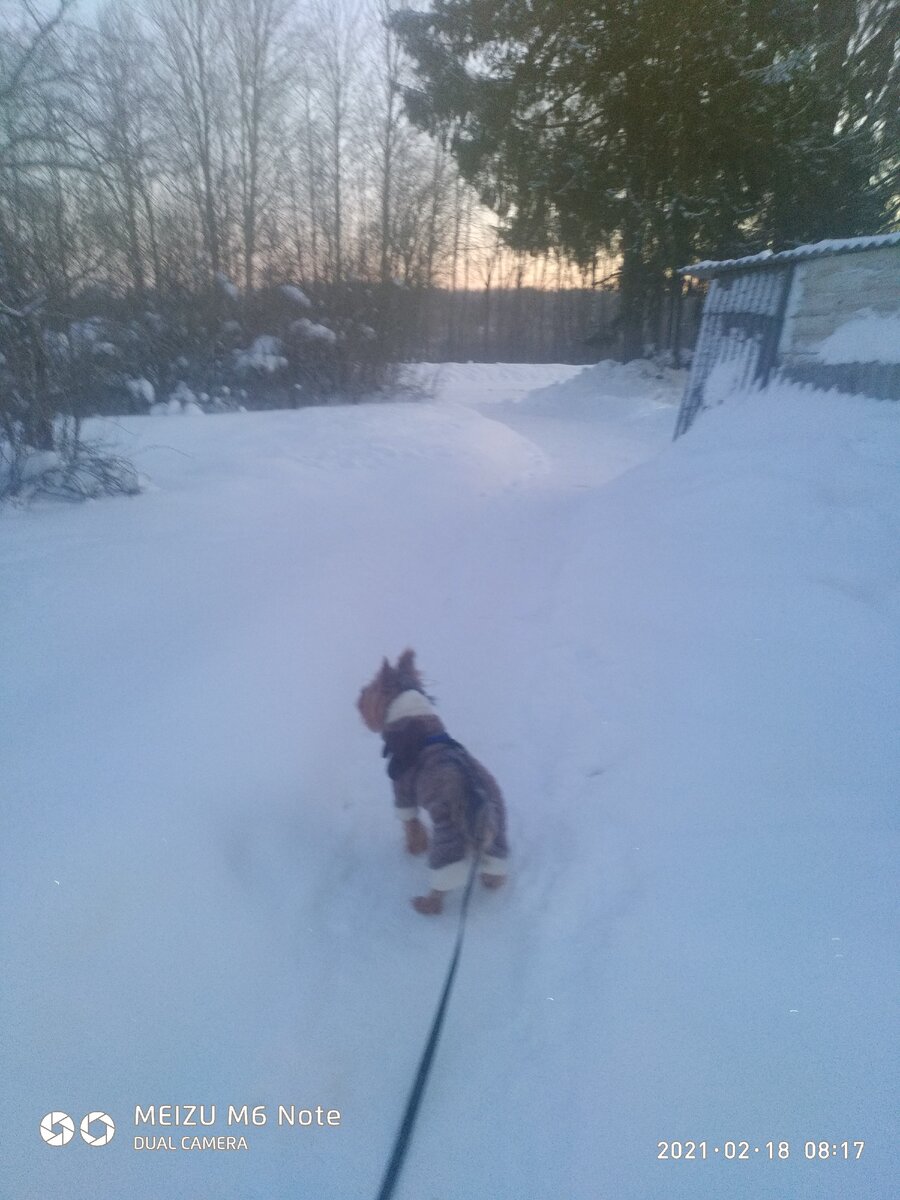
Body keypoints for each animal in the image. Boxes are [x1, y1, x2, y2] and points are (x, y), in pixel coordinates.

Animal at [362, 652, 513, 912]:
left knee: (440, 890)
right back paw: (488, 880)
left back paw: (424, 904)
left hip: (449, 844)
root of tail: (480, 816)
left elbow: (412, 826)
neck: (414, 719)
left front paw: (414, 848)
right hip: (498, 838)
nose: (358, 701)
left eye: (368, 692)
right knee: (495, 874)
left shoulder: (403, 793)